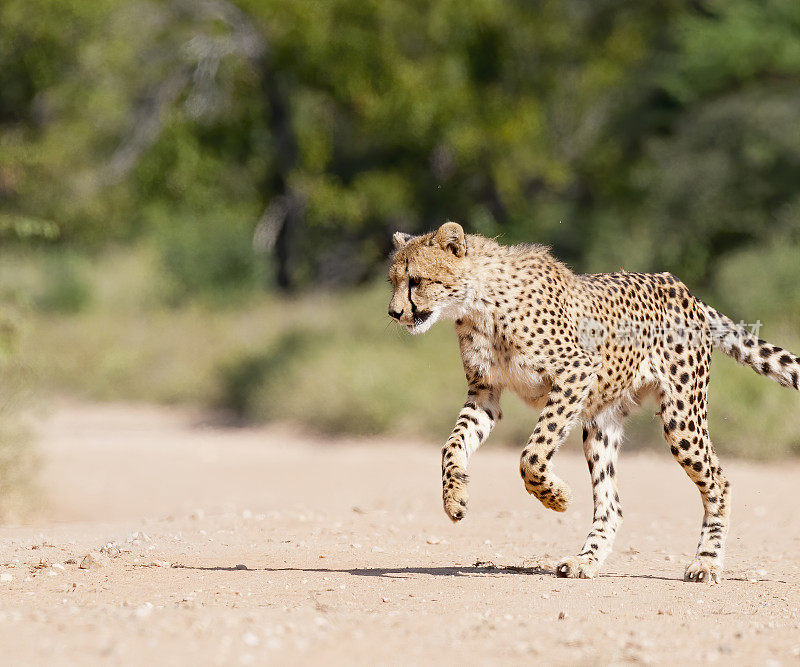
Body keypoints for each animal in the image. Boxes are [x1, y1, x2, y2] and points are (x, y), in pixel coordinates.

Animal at [388, 222, 800, 580]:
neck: (477, 301)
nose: (394, 312)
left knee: (718, 481)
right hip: (601, 424)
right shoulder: (484, 393)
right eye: (393, 281)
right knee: (612, 504)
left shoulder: (577, 371)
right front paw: (454, 497)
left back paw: (707, 562)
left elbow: (532, 453)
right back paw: (585, 560)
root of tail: (680, 285)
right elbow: (453, 444)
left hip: (681, 418)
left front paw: (556, 497)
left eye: (417, 281)